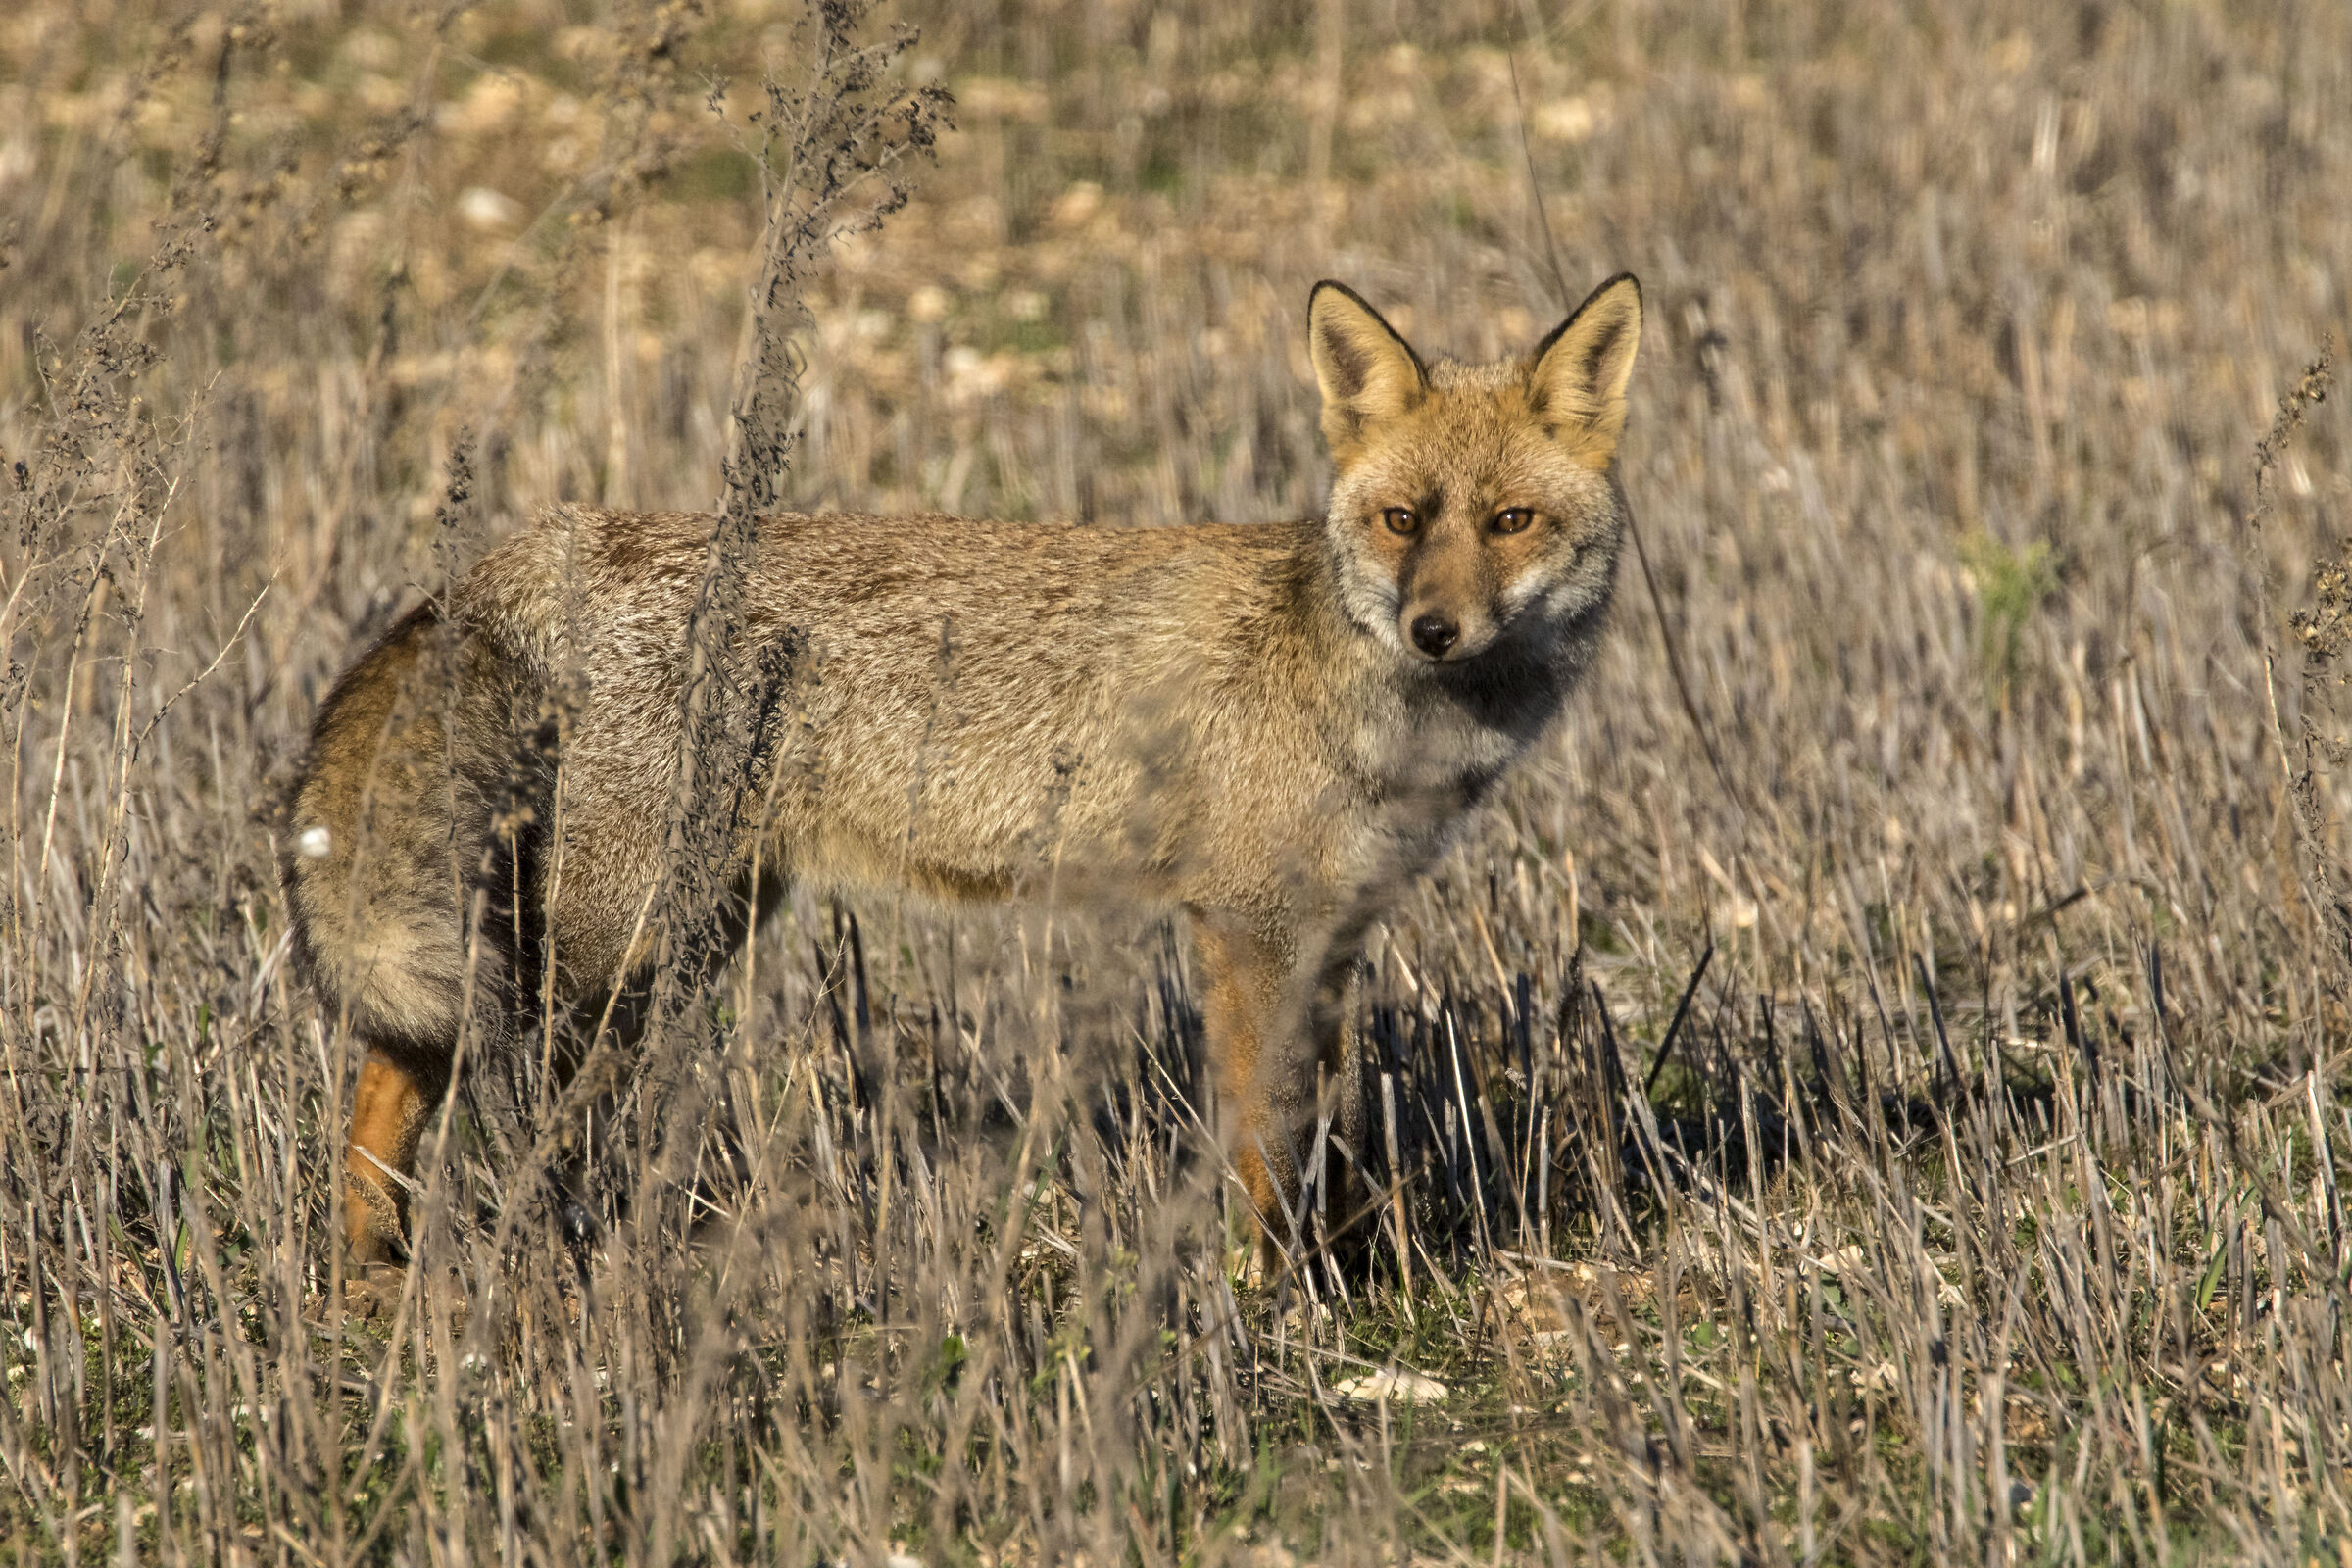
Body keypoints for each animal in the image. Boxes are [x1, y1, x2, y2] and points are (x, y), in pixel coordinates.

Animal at [282, 272, 1644, 1274]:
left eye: (1510, 523)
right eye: (1402, 521)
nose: (1435, 630)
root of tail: (545, 538)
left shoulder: (1335, 930)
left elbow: (1332, 1129)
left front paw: (1349, 1273)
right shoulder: (1248, 926)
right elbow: (1267, 1137)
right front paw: (1270, 1295)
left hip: (683, 921)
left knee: (397, 1071)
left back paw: (365, 1276)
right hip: (628, 941)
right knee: (448, 1080)